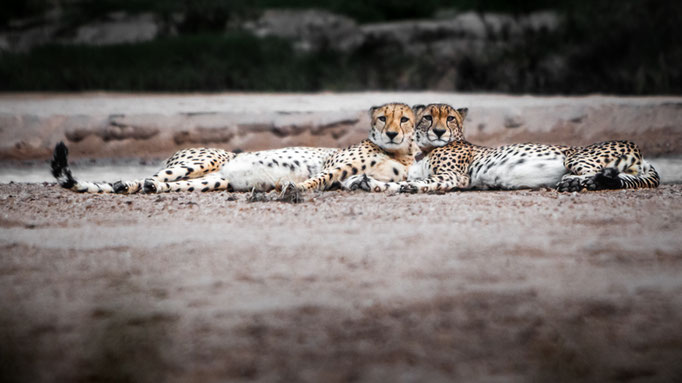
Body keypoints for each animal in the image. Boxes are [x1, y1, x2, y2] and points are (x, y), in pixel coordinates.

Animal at [278, 103, 418, 196]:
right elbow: (320, 178)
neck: (396, 153)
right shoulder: (339, 167)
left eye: (404, 119)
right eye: (382, 118)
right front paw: (296, 187)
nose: (391, 134)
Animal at [346, 103, 660, 194]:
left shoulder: (453, 178)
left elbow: (416, 183)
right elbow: (392, 181)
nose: (438, 131)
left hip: (577, 158)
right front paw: (361, 181)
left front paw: (404, 187)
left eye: (450, 118)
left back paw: (573, 182)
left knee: (595, 174)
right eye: (427, 117)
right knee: (613, 178)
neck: (424, 149)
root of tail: (639, 149)